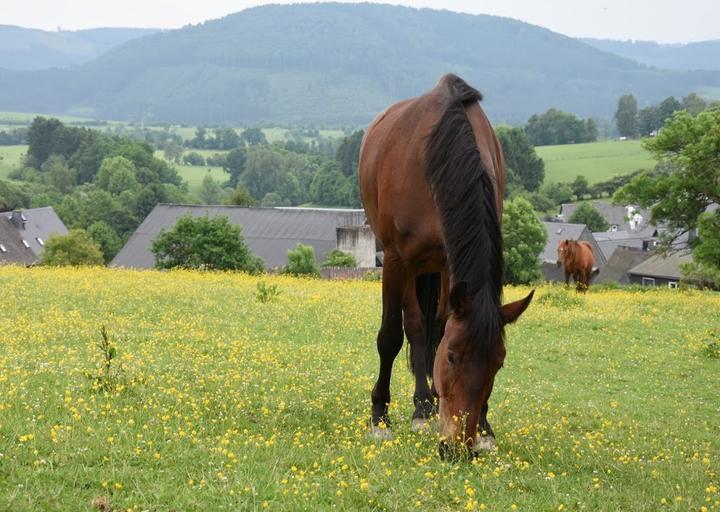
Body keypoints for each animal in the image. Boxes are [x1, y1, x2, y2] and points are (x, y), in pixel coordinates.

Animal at [360, 74, 536, 458]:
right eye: (453, 358)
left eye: (499, 362)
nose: (458, 448)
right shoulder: (394, 260)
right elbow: (390, 337)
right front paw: (380, 417)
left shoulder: (449, 263)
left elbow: (438, 331)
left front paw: (484, 427)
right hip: (411, 267)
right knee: (412, 326)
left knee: (429, 327)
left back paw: (424, 406)